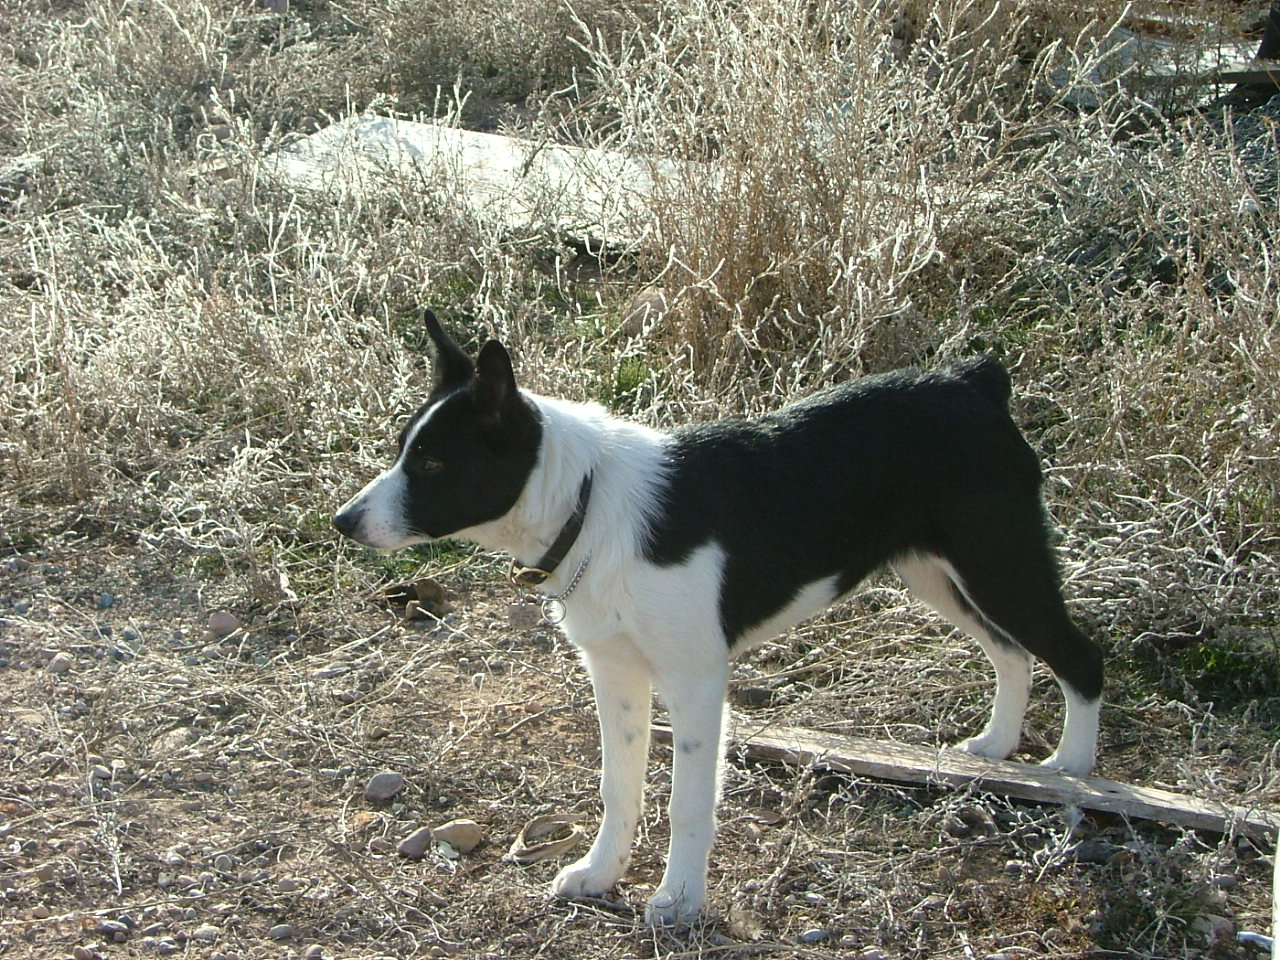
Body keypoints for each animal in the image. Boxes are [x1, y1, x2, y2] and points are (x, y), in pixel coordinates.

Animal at [335, 312, 1105, 926]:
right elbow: (618, 787)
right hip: (941, 574)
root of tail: (975, 382)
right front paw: (602, 874)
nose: (343, 522)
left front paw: (678, 901)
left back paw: (1072, 771)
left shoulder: (696, 683)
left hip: (998, 564)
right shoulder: (615, 675)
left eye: (432, 464)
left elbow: (688, 804)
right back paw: (998, 745)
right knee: (1011, 652)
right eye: (404, 452)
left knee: (1078, 656)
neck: (589, 504)